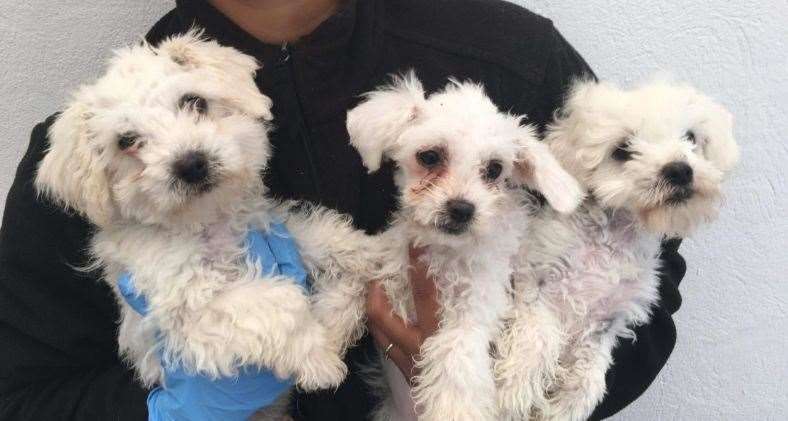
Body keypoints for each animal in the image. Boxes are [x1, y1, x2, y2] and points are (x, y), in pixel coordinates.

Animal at [310, 74, 580, 418]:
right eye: (429, 156)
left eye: (494, 169)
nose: (462, 209)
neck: (444, 252)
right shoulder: (388, 264)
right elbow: (348, 289)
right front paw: (323, 347)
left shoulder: (473, 310)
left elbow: (455, 357)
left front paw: (455, 410)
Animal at [492, 77, 740, 418]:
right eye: (623, 150)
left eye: (690, 137)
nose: (679, 170)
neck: (612, 240)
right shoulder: (535, 285)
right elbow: (536, 341)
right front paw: (513, 395)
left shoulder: (608, 318)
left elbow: (589, 375)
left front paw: (564, 408)